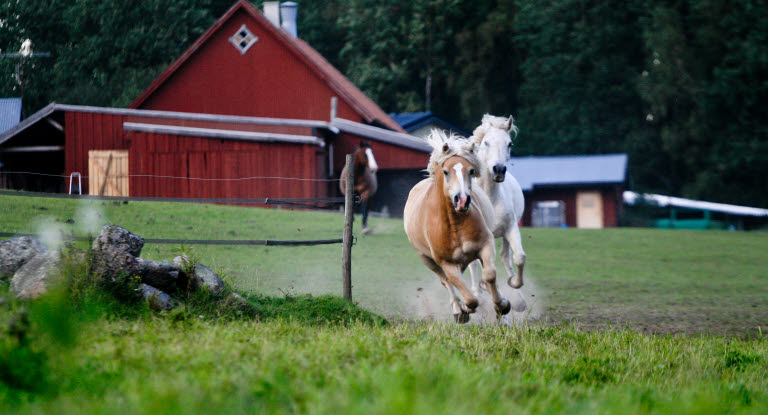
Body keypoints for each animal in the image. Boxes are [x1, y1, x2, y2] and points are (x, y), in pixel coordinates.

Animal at [402, 132, 510, 324]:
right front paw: (464, 309)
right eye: (446, 171)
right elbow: (467, 295)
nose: (462, 200)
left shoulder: (485, 245)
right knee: (446, 282)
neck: (454, 226)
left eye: (471, 171)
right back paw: (458, 310)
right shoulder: (447, 263)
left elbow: (489, 275)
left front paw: (502, 306)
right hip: (428, 260)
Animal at [464, 114, 524, 312]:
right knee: (475, 264)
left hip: (503, 236)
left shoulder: (511, 228)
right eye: (486, 142)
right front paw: (482, 292)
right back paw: (479, 294)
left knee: (506, 257)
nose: (498, 170)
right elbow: (478, 266)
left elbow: (519, 257)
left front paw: (514, 285)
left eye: (509, 143)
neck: (489, 198)